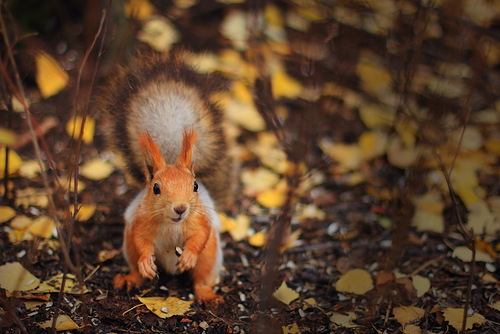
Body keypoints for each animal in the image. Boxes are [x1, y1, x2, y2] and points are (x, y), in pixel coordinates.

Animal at [98, 51, 236, 302]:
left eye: (195, 186)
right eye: (156, 188)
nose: (180, 208)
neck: (172, 224)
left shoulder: (200, 220)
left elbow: (200, 236)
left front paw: (188, 256)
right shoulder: (140, 221)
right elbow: (141, 241)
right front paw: (145, 263)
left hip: (210, 256)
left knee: (201, 277)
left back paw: (206, 294)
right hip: (128, 248)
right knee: (135, 263)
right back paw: (131, 278)